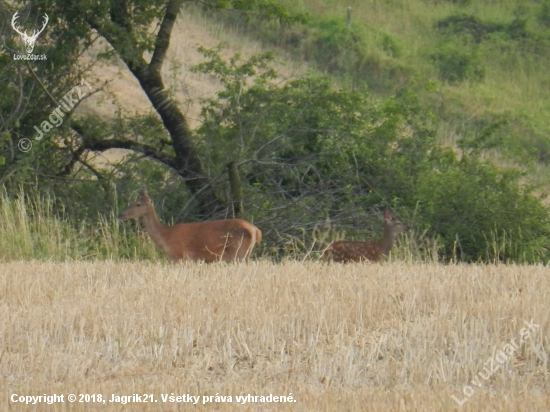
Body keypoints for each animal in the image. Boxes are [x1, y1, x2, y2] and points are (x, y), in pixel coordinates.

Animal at [118, 189, 264, 262]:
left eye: (138, 204)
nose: (121, 214)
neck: (165, 236)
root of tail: (256, 230)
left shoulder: (180, 256)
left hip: (237, 251)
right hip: (246, 253)